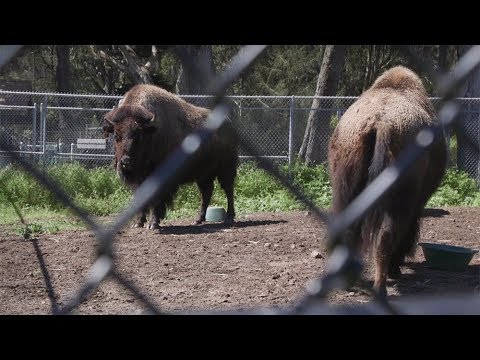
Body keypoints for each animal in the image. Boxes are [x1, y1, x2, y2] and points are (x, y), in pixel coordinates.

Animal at [105, 84, 240, 229]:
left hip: (226, 169)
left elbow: (156, 200)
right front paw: (138, 223)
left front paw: (153, 224)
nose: (126, 161)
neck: (151, 133)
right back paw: (198, 220)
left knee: (228, 190)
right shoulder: (139, 180)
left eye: (138, 136)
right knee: (206, 193)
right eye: (116, 136)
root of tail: (229, 125)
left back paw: (229, 218)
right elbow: (140, 200)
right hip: (203, 175)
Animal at [328, 66, 448, 296]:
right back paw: (381, 285)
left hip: (345, 189)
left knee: (348, 229)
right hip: (397, 200)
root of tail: (380, 122)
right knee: (386, 235)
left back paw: (348, 281)